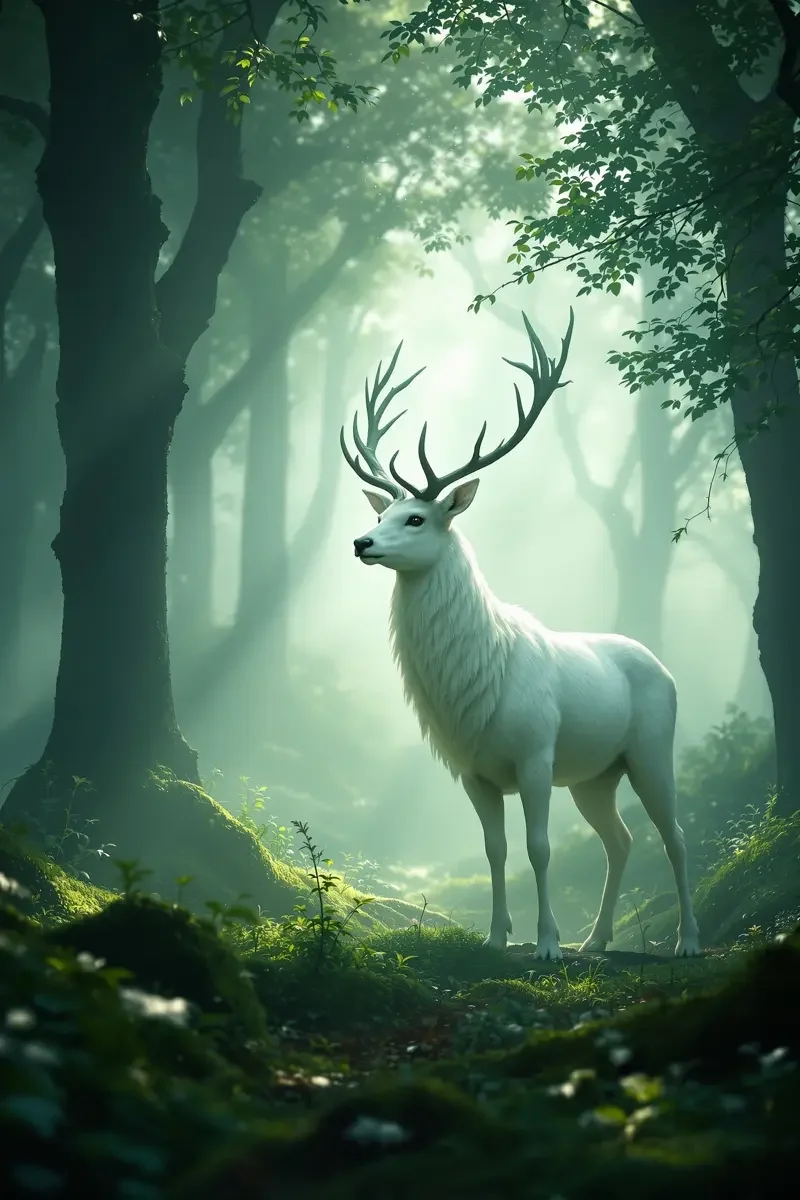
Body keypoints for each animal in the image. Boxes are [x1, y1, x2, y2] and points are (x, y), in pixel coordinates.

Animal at [339, 309, 701, 961]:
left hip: (652, 749)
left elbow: (539, 848)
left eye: (416, 517)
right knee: (621, 838)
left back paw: (686, 940)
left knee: (676, 835)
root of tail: (660, 665)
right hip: (594, 775)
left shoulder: (535, 752)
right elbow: (495, 849)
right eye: (380, 513)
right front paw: (494, 937)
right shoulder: (472, 769)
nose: (362, 542)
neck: (477, 683)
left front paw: (547, 944)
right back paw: (596, 941)